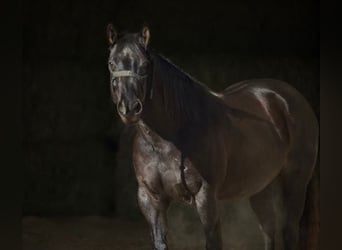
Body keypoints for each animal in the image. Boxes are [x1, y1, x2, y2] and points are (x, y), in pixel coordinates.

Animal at [105, 23, 320, 250]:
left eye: (145, 65)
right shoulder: (151, 199)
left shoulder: (206, 197)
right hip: (260, 185)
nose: (129, 108)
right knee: (268, 230)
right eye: (111, 63)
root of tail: (289, 97)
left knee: (289, 230)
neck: (166, 140)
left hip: (295, 181)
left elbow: (213, 241)